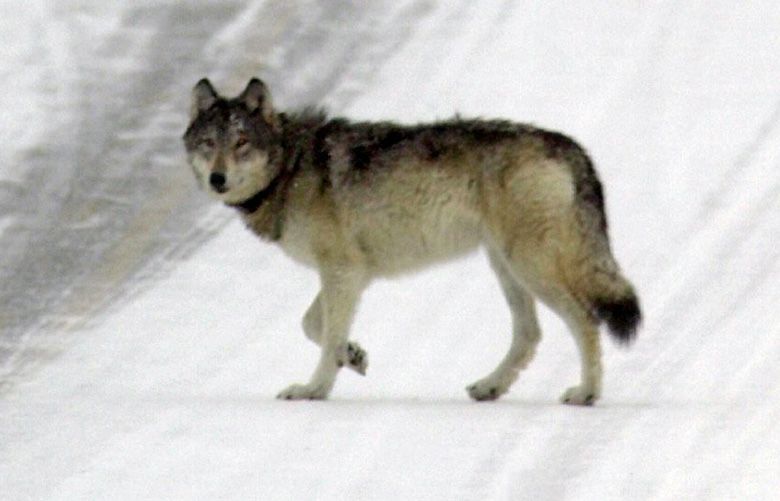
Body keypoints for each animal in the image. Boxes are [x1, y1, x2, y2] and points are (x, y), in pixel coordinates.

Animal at [182, 78, 641, 405]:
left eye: (241, 143)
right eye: (208, 144)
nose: (217, 179)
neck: (290, 168)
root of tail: (567, 145)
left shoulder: (342, 271)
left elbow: (324, 336)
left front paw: (314, 389)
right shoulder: (350, 274)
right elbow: (315, 325)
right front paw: (353, 355)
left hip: (528, 266)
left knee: (585, 319)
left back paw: (586, 393)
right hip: (506, 267)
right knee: (529, 335)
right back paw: (489, 387)